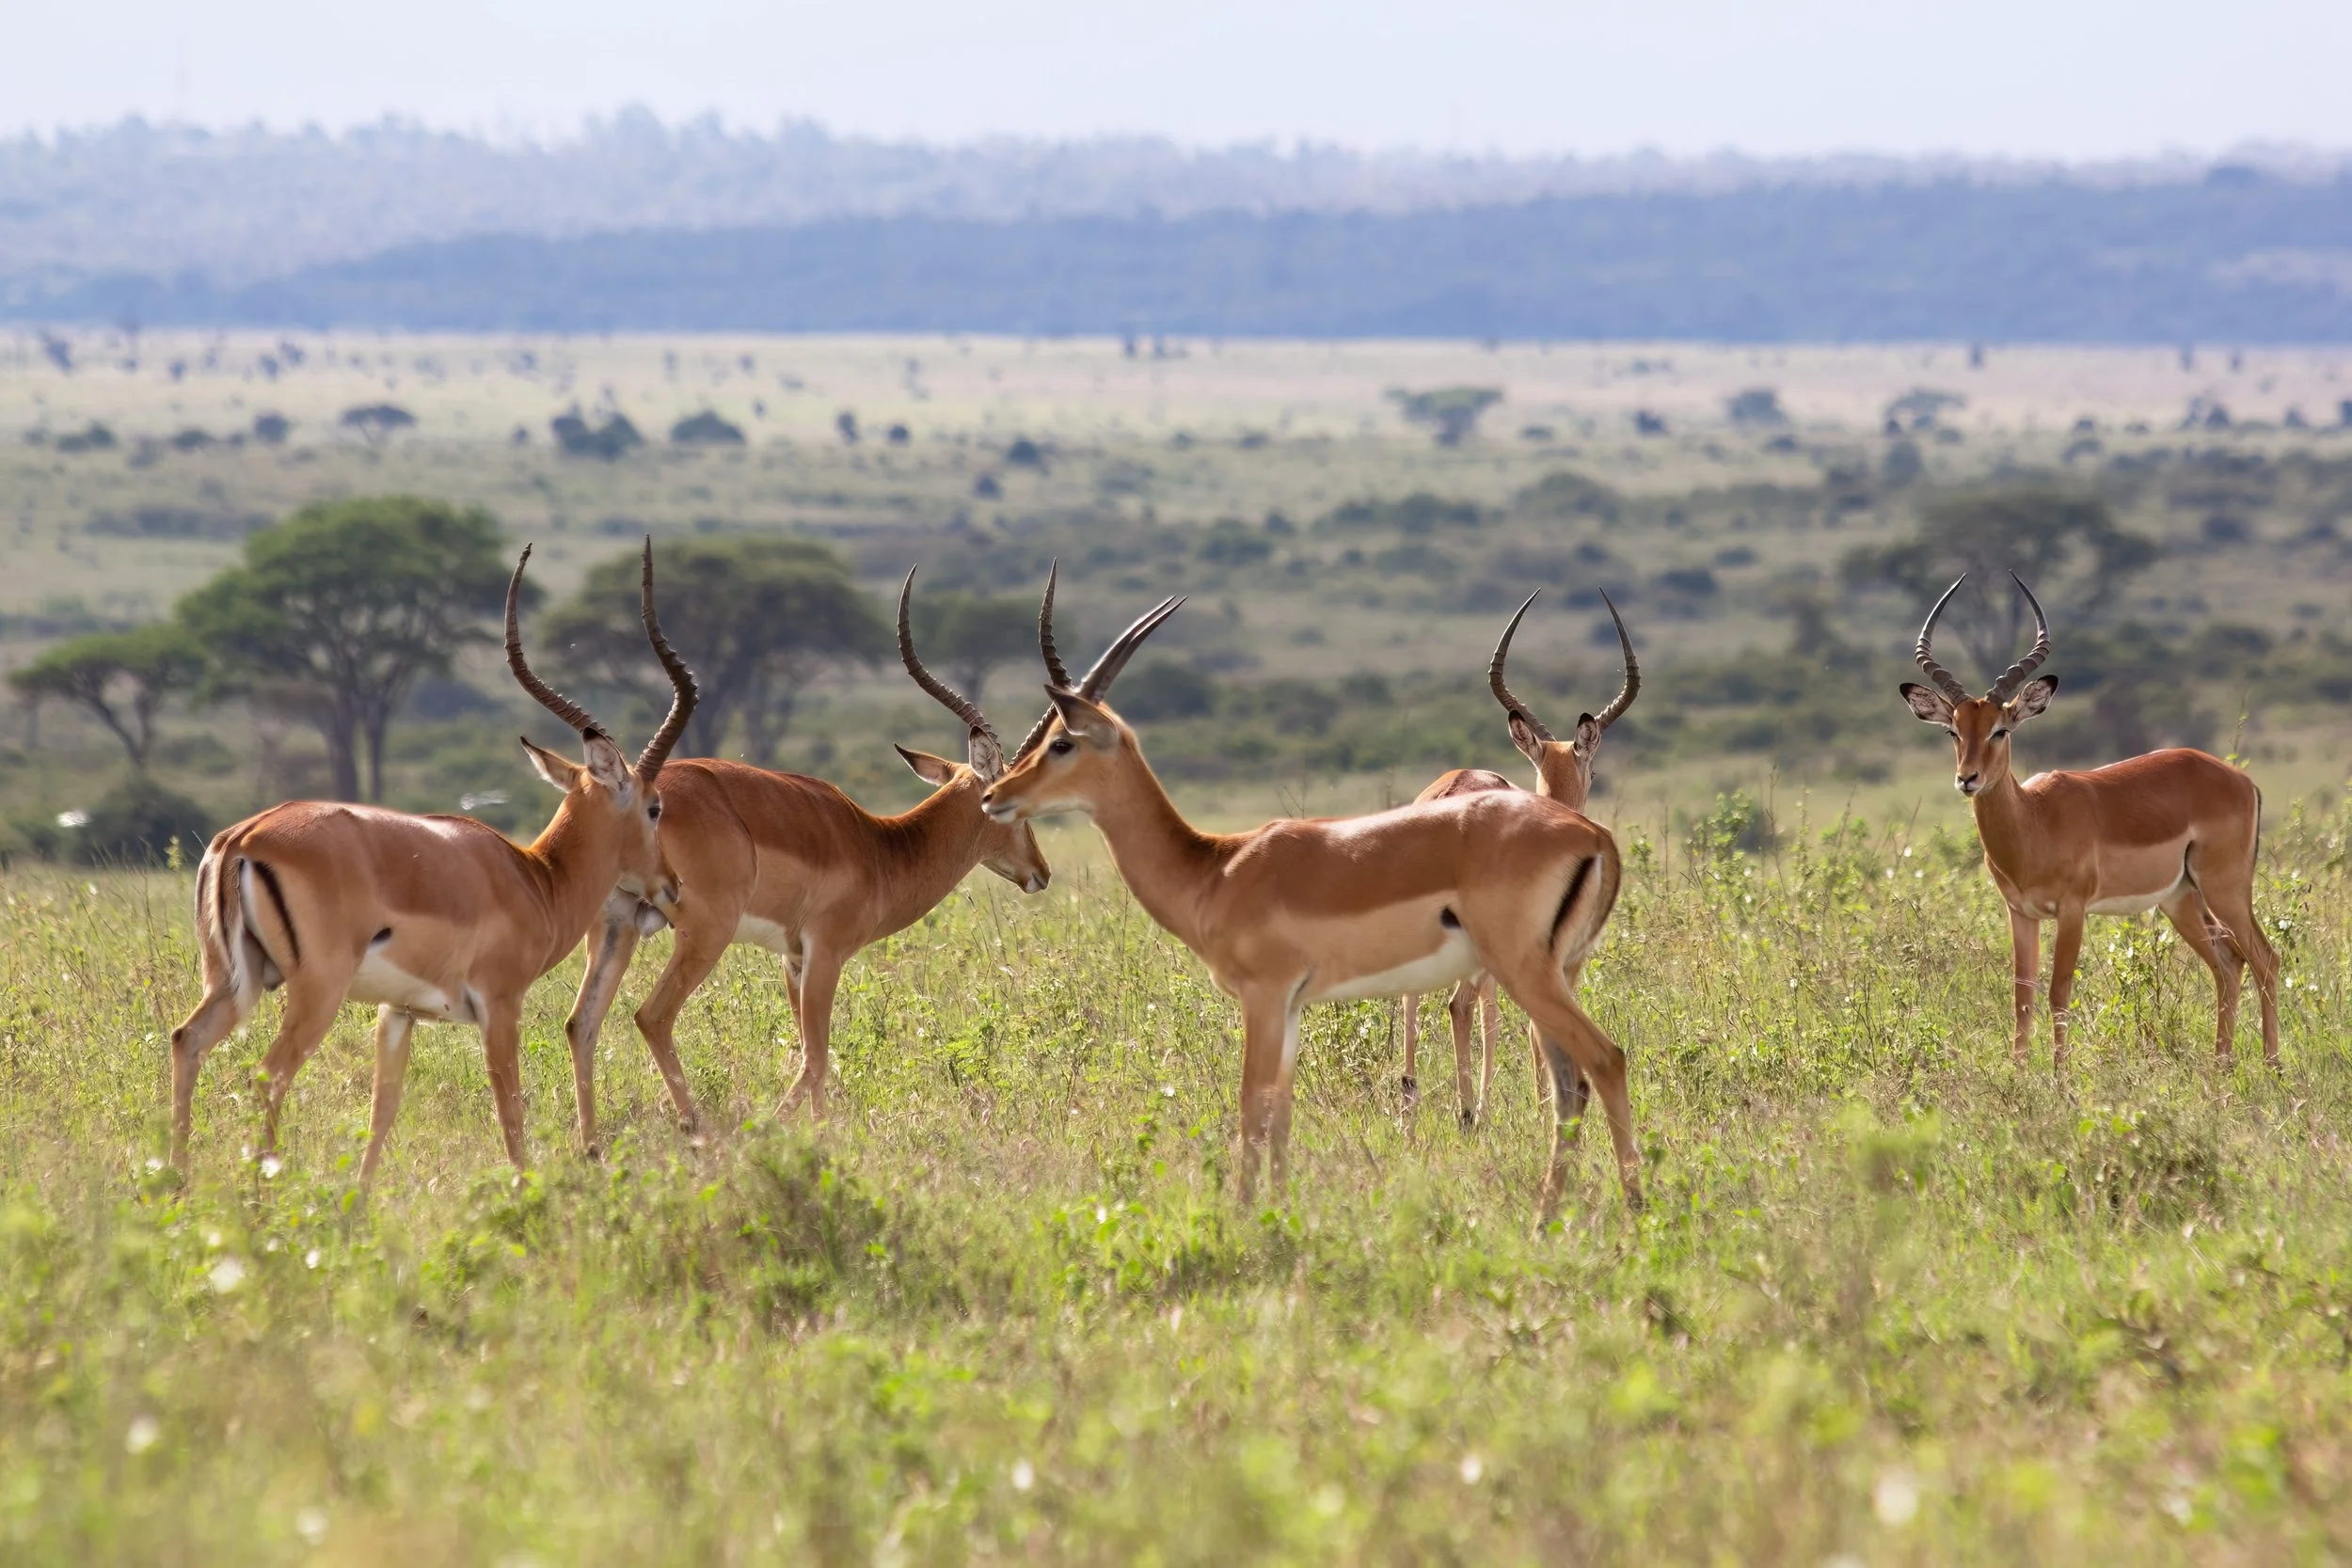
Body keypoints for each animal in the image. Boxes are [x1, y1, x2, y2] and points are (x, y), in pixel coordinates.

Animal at [168, 541, 697, 1179]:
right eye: (653, 807)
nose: (671, 885)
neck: (537, 879)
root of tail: (244, 837)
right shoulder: (500, 1006)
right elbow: (510, 1114)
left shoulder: (397, 1013)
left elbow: (382, 1113)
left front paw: (362, 1198)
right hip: (316, 991)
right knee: (267, 1077)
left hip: (234, 981)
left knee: (186, 1041)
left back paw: (177, 1183)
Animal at [559, 566, 1059, 1142]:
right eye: (1011, 804)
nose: (1041, 872)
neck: (880, 848)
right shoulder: (826, 953)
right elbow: (817, 1057)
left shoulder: (793, 959)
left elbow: (811, 1055)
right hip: (704, 934)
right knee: (652, 1016)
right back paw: (694, 1128)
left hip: (615, 927)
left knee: (580, 1022)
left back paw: (589, 1144)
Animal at [1900, 572, 2279, 1066]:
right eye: (1953, 731)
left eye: (2000, 730)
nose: (1968, 778)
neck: (2033, 824)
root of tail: (2240, 779)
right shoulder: (2020, 913)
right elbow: (2022, 997)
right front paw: (2019, 1075)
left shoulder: (2072, 910)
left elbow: (2059, 993)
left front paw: (2060, 1079)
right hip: (2181, 898)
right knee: (2228, 963)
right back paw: (2220, 1067)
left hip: (2224, 887)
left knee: (2265, 959)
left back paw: (2273, 1067)